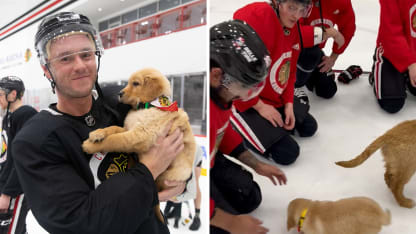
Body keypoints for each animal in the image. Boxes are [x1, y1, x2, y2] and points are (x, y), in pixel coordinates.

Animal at [83, 67, 197, 221]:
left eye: (136, 83)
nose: (119, 94)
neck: (147, 106)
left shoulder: (140, 135)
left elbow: (114, 139)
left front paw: (89, 146)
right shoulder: (128, 128)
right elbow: (113, 129)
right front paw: (97, 134)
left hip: (167, 175)